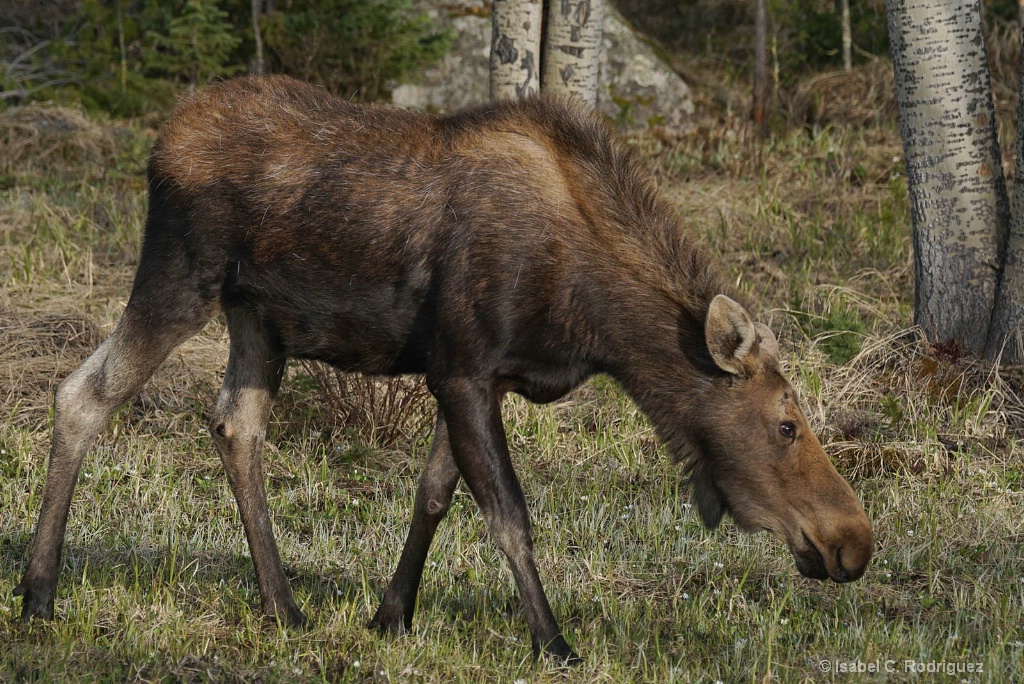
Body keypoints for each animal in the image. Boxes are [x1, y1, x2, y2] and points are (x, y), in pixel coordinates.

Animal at [16, 74, 872, 663]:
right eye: (786, 423)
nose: (854, 543)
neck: (596, 322)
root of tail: (158, 144)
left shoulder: (481, 376)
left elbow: (432, 496)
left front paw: (391, 615)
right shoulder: (462, 368)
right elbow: (509, 515)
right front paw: (552, 641)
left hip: (256, 318)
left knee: (235, 426)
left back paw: (282, 605)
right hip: (179, 274)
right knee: (82, 395)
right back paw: (38, 593)